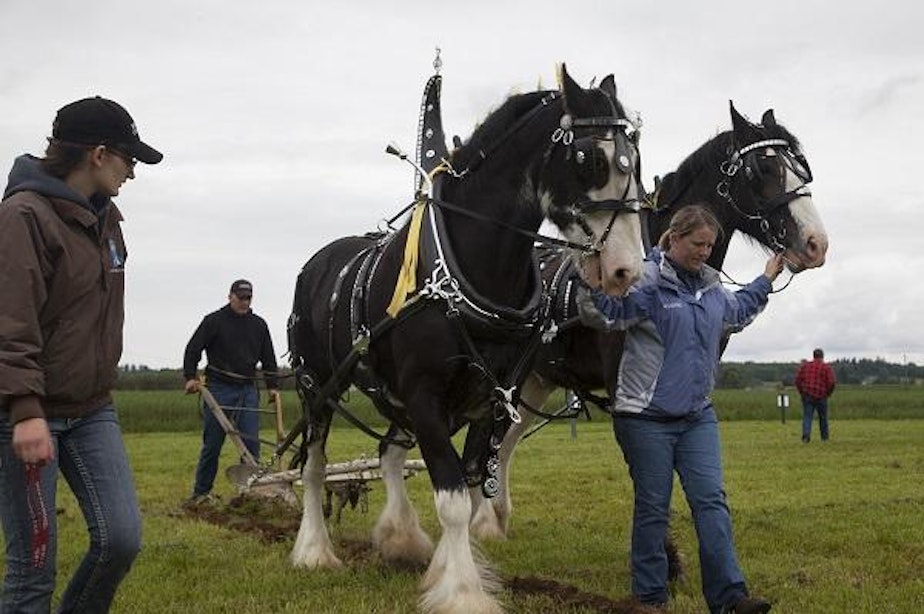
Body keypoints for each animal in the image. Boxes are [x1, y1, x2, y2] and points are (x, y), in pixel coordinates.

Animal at [288, 65, 644, 612]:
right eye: (589, 159)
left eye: (636, 160)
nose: (626, 269)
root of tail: (318, 261)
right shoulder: (424, 394)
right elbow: (453, 499)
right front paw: (462, 591)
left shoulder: (494, 397)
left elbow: (475, 483)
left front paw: (453, 565)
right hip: (317, 387)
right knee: (313, 466)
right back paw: (314, 551)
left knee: (389, 452)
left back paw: (400, 539)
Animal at [470, 103, 832, 540]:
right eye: (763, 168)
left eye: (800, 167)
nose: (816, 243)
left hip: (534, 382)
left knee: (503, 443)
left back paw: (492, 519)